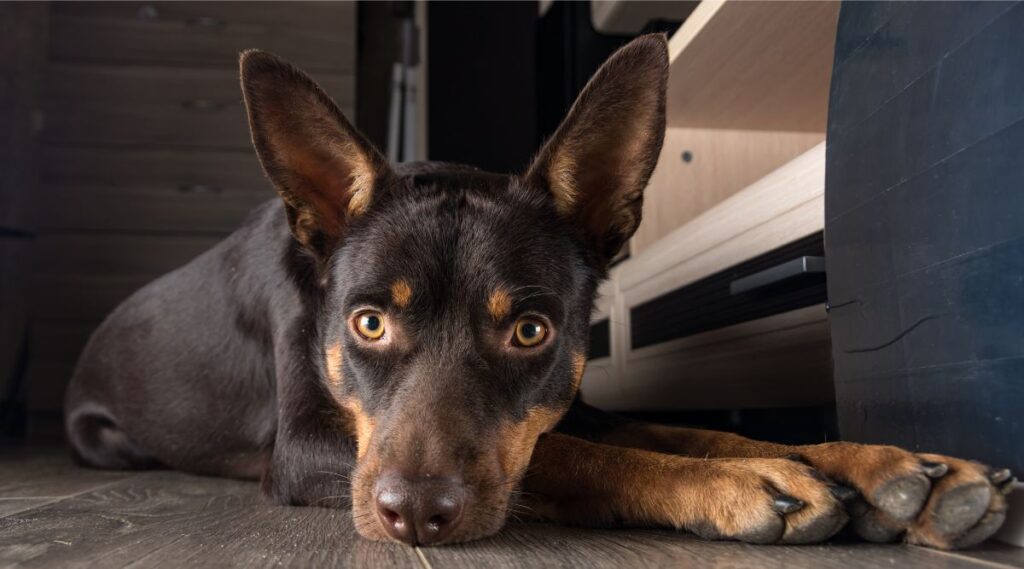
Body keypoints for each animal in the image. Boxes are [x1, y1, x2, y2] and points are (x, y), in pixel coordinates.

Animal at [61, 34, 1007, 548]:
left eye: (529, 332)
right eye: (367, 322)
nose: (415, 516)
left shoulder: (564, 394)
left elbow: (690, 427)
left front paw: (886, 465)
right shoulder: (308, 444)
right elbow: (574, 454)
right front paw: (741, 483)